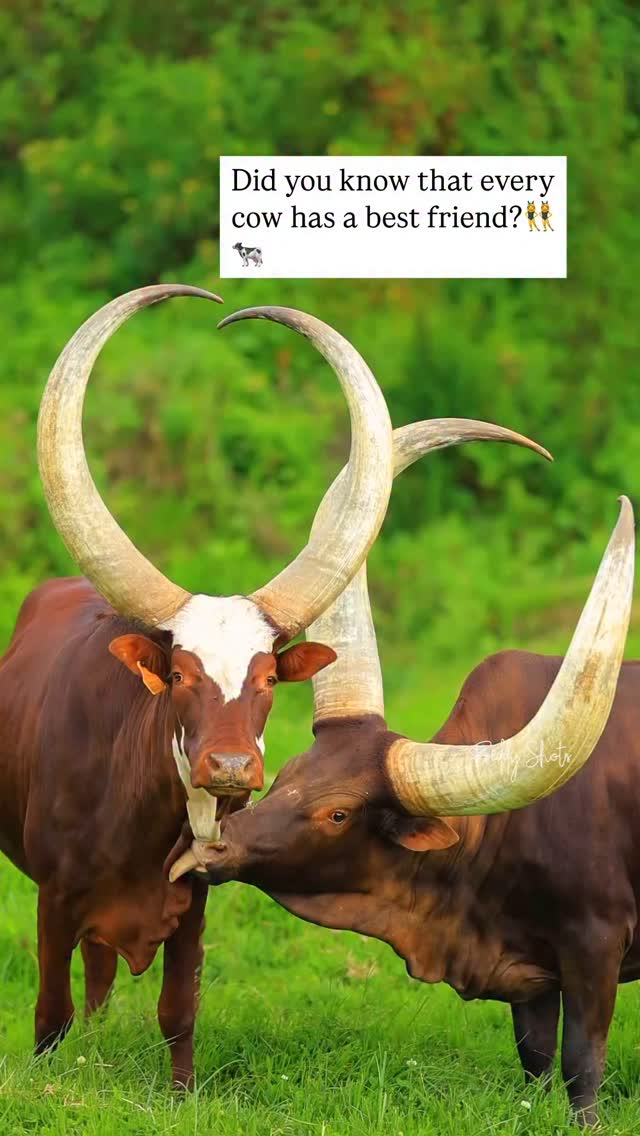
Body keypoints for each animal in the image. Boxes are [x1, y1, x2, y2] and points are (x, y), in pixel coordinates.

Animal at [0, 284, 395, 1085]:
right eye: (179, 674)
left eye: (270, 675)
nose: (232, 767)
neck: (136, 819)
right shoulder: (53, 901)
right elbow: (50, 1015)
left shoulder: (195, 903)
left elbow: (177, 1012)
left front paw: (181, 1095)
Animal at [200, 420, 635, 1127]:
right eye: (286, 771)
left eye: (339, 813)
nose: (211, 847)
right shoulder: (530, 972)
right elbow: (537, 1059)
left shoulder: (596, 947)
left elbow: (581, 1066)